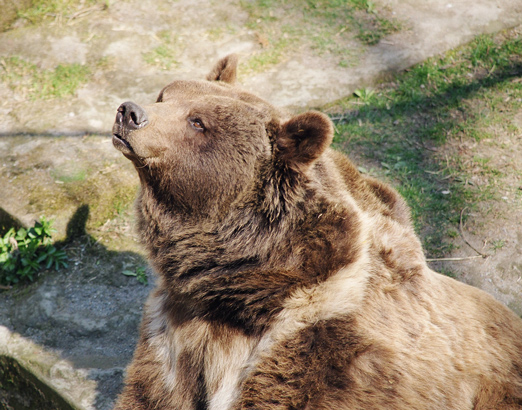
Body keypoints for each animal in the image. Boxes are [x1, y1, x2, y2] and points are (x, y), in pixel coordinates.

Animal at [110, 55, 520, 410]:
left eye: (198, 121)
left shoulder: (327, 338)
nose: (129, 112)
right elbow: (149, 393)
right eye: (166, 95)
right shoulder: (172, 334)